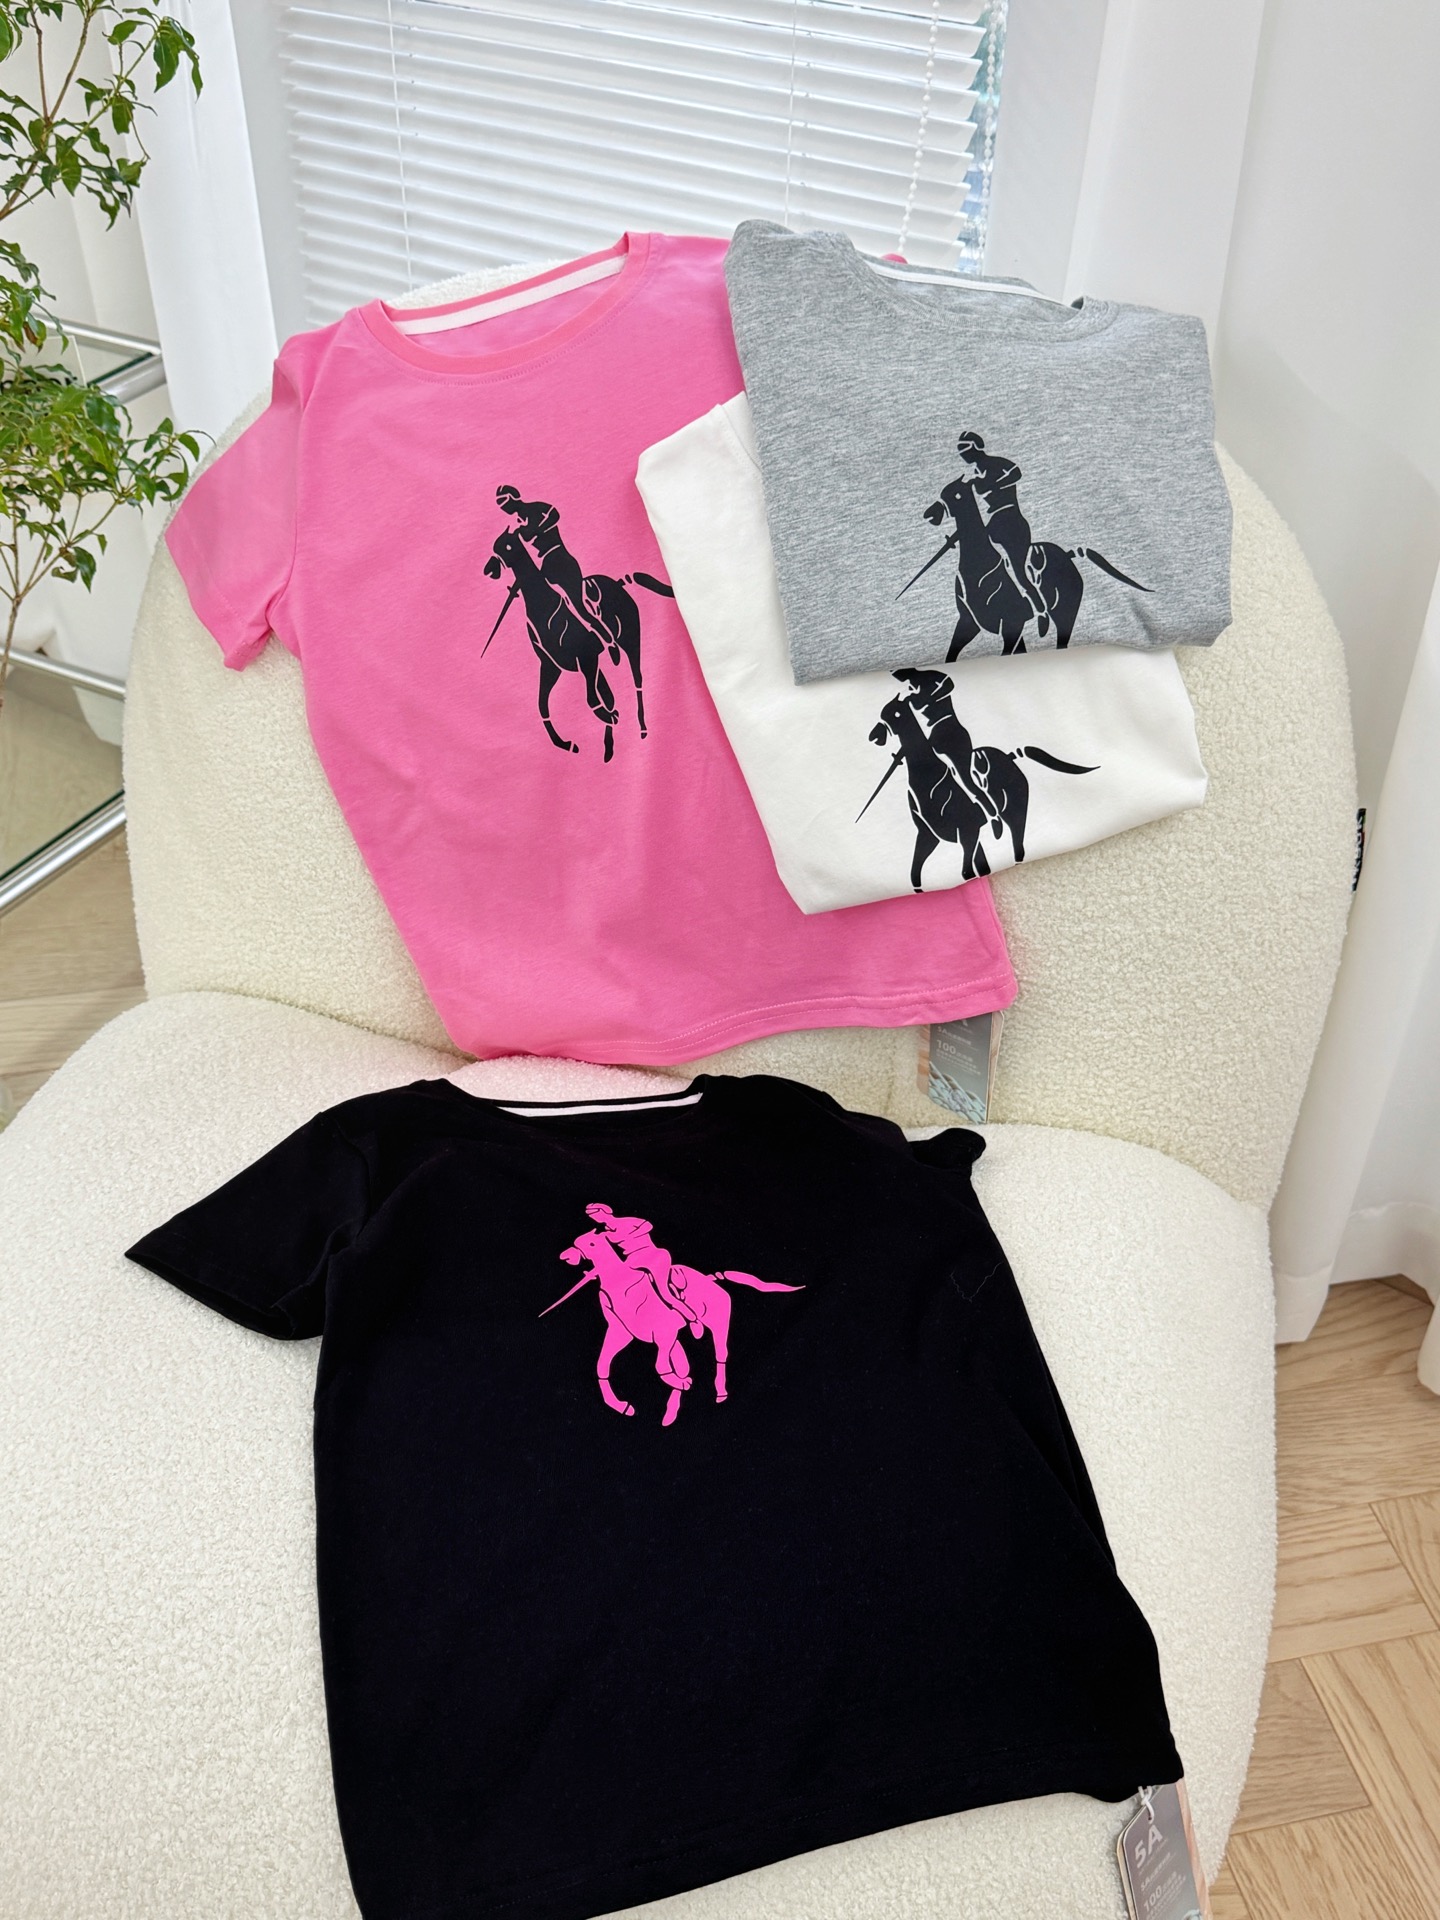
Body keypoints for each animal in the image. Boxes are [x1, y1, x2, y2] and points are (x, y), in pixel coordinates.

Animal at [482, 529, 672, 761]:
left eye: (508, 547)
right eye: (496, 546)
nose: (488, 570)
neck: (543, 605)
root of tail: (618, 583)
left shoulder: (586, 660)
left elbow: (592, 700)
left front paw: (606, 716)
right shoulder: (552, 667)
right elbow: (542, 705)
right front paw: (565, 743)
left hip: (631, 642)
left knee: (637, 680)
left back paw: (641, 727)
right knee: (610, 695)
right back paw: (609, 747)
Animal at [542, 1228, 802, 1427]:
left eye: (592, 1243)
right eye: (578, 1241)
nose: (566, 1256)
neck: (621, 1284)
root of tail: (712, 1280)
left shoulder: (662, 1335)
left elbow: (660, 1367)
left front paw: (678, 1382)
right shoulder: (622, 1334)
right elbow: (602, 1366)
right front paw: (621, 1406)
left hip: (718, 1326)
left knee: (720, 1355)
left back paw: (718, 1392)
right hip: (676, 1340)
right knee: (684, 1366)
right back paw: (670, 1413)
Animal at [928, 477, 1150, 659]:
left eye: (956, 495)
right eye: (942, 493)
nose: (929, 515)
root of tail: (1067, 555)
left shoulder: (1012, 624)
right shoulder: (969, 623)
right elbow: (952, 653)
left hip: (1065, 616)